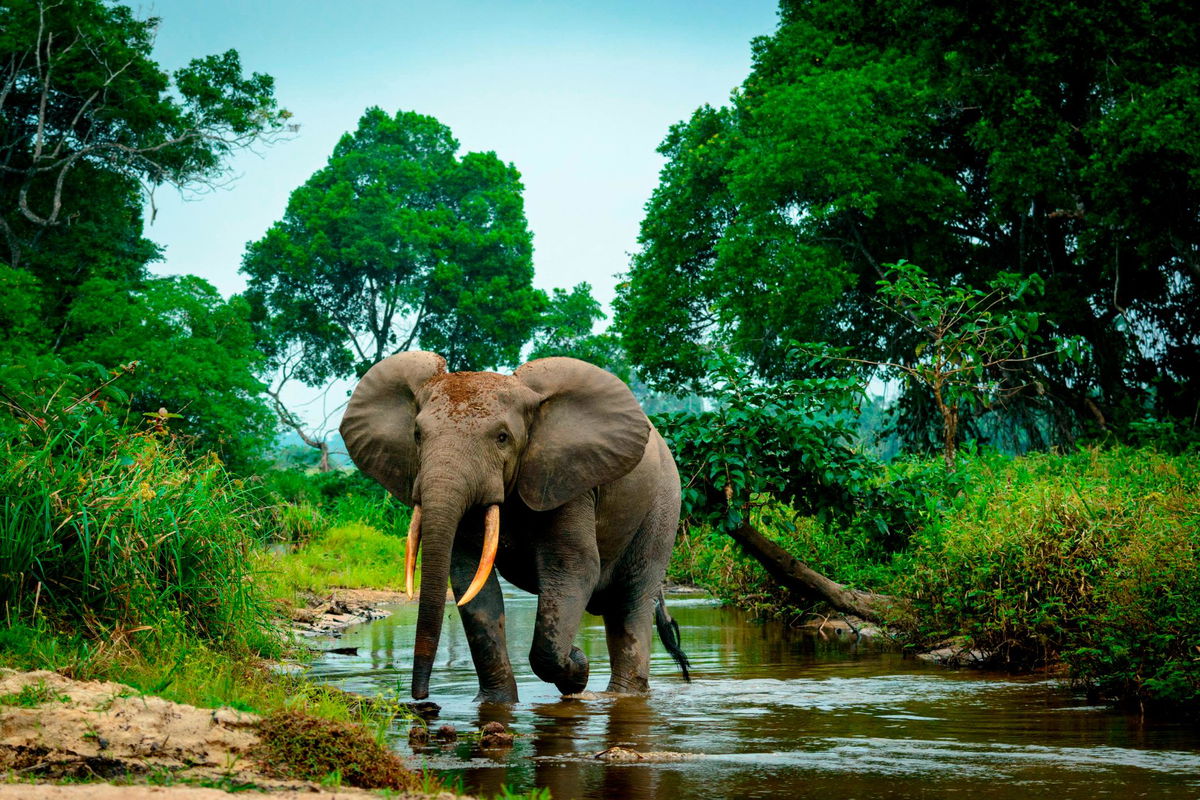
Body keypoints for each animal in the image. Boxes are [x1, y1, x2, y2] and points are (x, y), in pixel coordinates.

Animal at [343, 350, 691, 700]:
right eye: (417, 435)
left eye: (502, 438)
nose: (421, 697)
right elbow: (470, 580)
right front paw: (496, 703)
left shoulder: (568, 480)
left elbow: (574, 567)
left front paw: (577, 667)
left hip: (663, 506)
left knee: (631, 602)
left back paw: (621, 696)